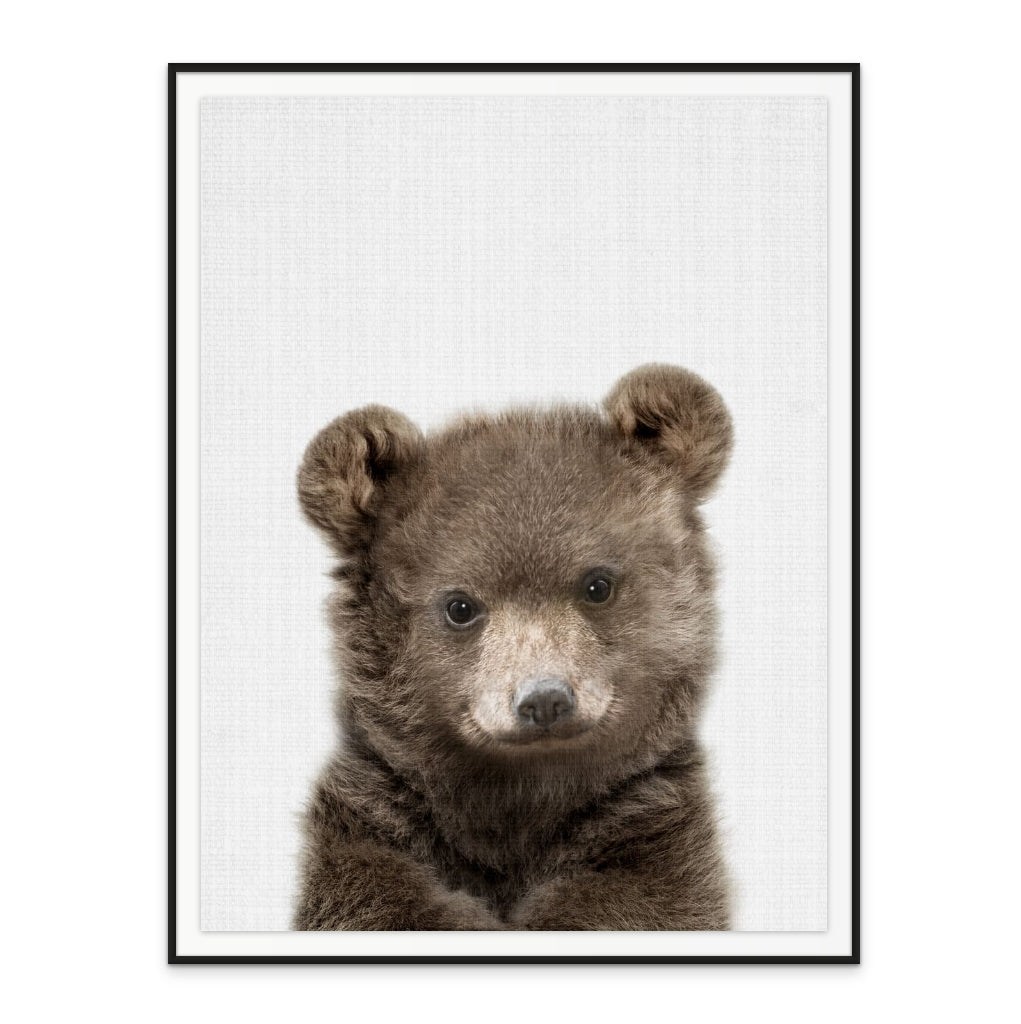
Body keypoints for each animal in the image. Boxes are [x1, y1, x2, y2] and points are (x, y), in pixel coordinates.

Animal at [293, 364, 733, 930]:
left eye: (597, 584)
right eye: (460, 605)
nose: (544, 699)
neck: (518, 804)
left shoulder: (651, 830)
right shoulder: (375, 821)